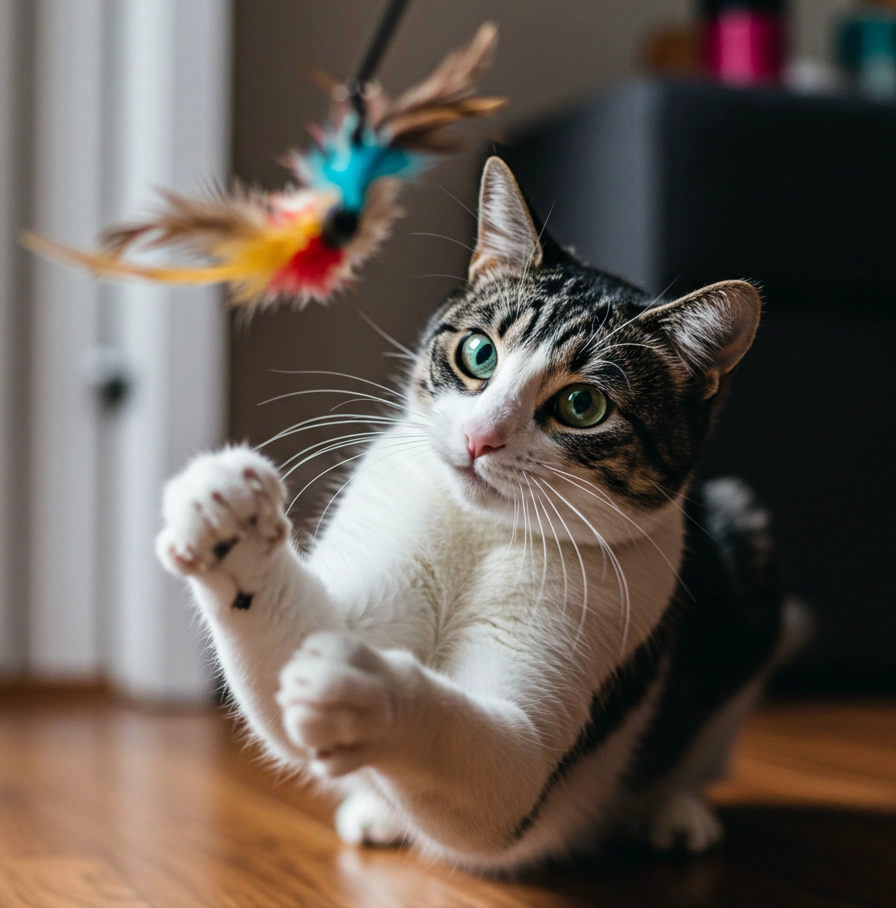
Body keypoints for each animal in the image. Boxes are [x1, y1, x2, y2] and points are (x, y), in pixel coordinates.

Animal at [156, 156, 804, 872]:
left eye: (583, 406)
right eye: (479, 353)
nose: (479, 438)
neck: (480, 532)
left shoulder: (573, 676)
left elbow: (484, 754)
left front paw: (366, 692)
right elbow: (284, 643)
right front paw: (232, 528)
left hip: (747, 543)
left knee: (696, 755)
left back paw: (675, 813)